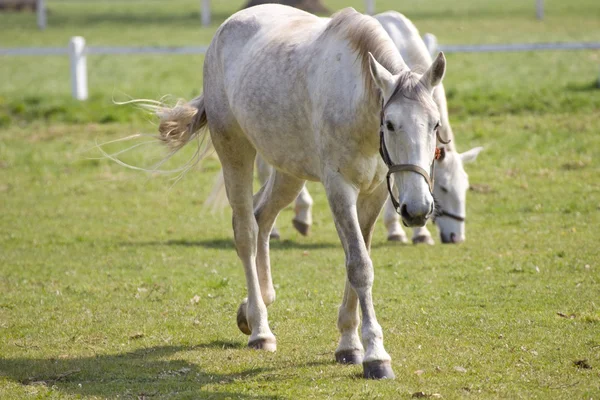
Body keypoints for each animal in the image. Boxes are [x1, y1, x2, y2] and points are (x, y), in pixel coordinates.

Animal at [143, 4, 448, 380]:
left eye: (435, 124)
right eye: (390, 124)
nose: (417, 209)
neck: (356, 103)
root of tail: (228, 26)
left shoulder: (375, 193)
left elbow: (359, 261)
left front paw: (349, 344)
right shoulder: (339, 189)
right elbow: (359, 266)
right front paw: (376, 356)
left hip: (288, 173)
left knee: (263, 218)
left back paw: (253, 306)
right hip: (235, 152)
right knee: (246, 232)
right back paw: (260, 329)